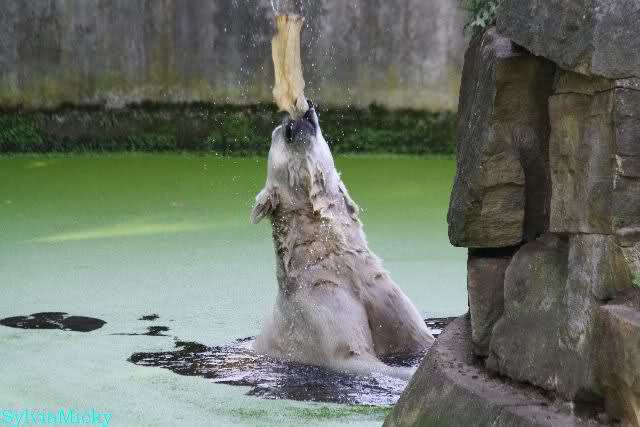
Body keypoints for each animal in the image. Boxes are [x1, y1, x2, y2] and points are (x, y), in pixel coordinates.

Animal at [251, 103, 434, 379]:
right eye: (276, 133)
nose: (294, 116)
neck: (335, 259)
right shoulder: (319, 306)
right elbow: (352, 354)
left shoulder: (377, 287)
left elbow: (417, 337)